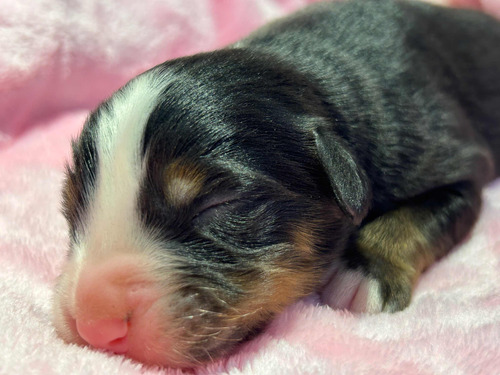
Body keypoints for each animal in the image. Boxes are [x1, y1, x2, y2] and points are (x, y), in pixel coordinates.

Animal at [51, 0, 500, 370]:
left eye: (219, 203)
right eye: (71, 208)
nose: (93, 324)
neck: (305, 70)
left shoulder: (456, 160)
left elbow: (417, 218)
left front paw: (363, 271)